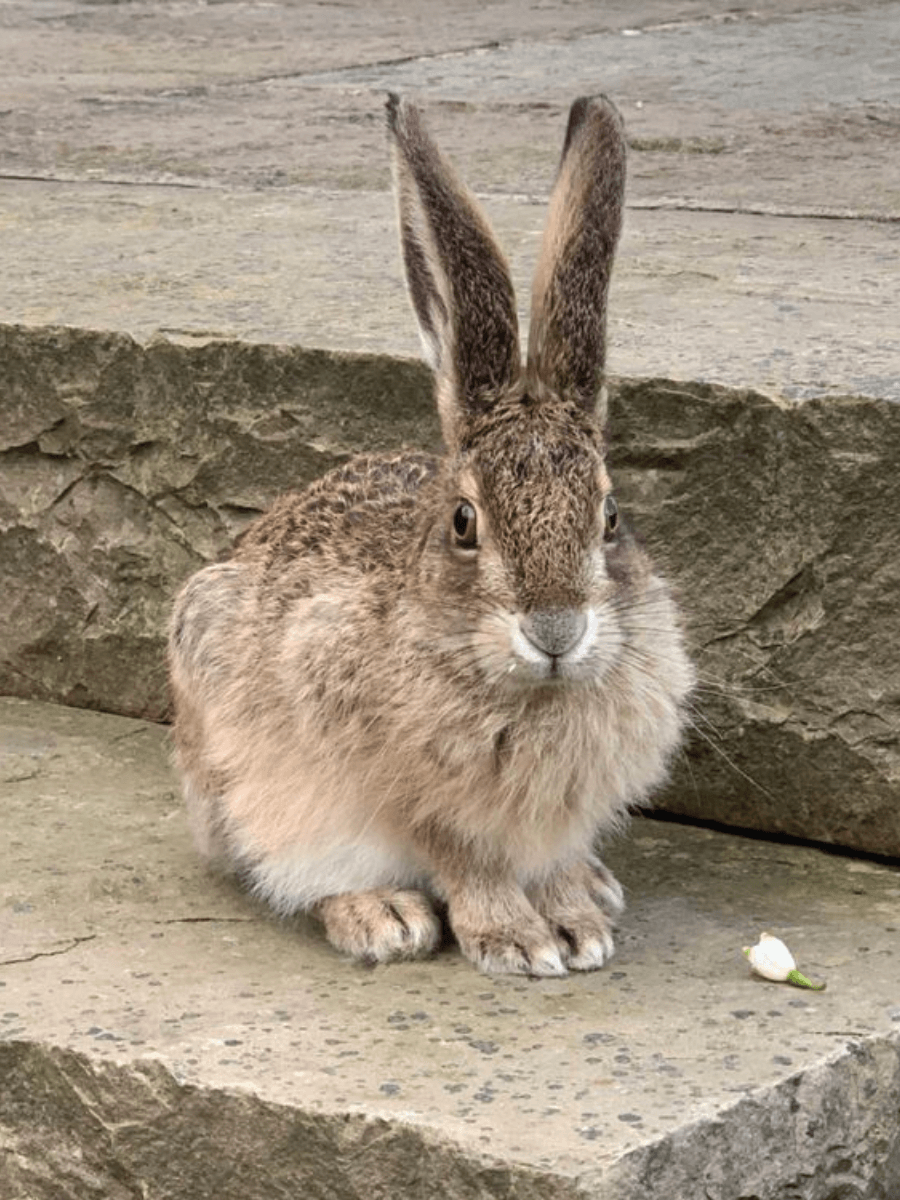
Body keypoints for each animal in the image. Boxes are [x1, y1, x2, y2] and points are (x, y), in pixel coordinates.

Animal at [167, 93, 695, 977]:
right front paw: (519, 942)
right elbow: (464, 857)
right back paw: (380, 916)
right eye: (464, 523)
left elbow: (549, 859)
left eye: (611, 515)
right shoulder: (410, 796)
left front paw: (576, 922)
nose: (557, 631)